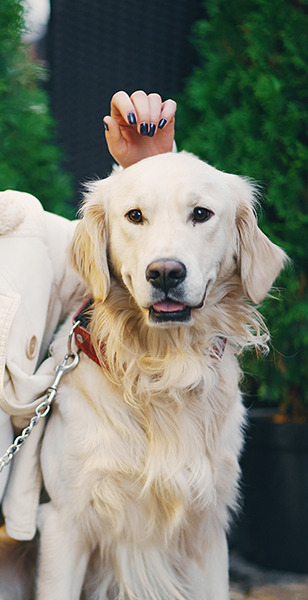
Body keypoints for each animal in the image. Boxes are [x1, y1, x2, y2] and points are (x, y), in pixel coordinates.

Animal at [35, 152, 286, 596]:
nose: (166, 272)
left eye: (201, 213)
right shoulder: (63, 525)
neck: (164, 368)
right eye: (135, 216)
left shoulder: (208, 531)